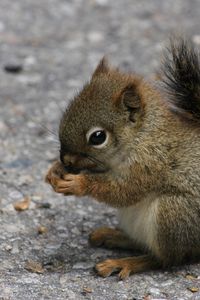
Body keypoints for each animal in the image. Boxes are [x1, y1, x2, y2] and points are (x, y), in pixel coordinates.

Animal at [45, 38, 200, 280]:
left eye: (98, 137)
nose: (66, 159)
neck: (142, 136)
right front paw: (55, 171)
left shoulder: (150, 163)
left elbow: (124, 191)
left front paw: (78, 184)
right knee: (142, 244)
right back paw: (113, 236)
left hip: (174, 215)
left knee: (165, 259)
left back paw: (125, 262)